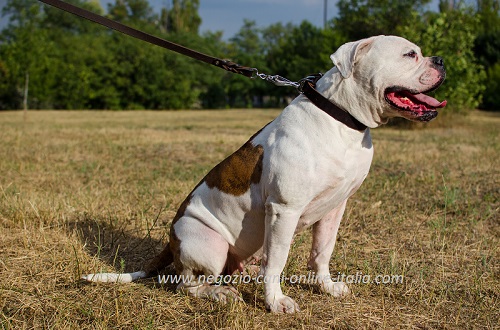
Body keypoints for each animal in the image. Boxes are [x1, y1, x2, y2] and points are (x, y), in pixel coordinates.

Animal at [84, 35, 448, 312]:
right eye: (410, 54)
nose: (442, 60)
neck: (341, 118)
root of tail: (171, 240)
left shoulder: (335, 207)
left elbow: (322, 252)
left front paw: (327, 287)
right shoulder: (285, 210)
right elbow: (277, 261)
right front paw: (275, 303)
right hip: (208, 242)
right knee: (187, 284)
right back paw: (220, 293)